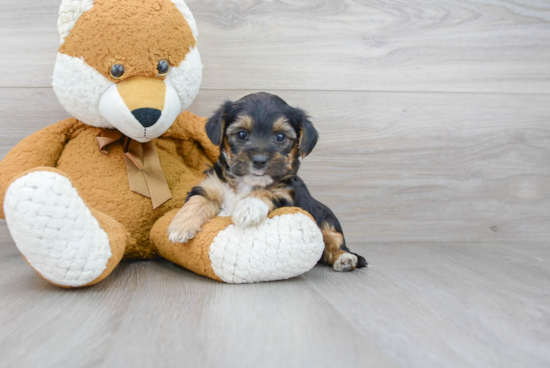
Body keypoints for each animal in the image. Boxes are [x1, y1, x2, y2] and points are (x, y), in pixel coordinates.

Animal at [168, 92, 366, 270]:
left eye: (280, 136)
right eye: (242, 134)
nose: (259, 160)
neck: (246, 183)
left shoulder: (287, 193)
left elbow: (268, 191)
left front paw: (248, 208)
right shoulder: (211, 185)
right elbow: (198, 200)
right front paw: (180, 226)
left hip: (327, 220)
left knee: (334, 242)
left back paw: (346, 259)